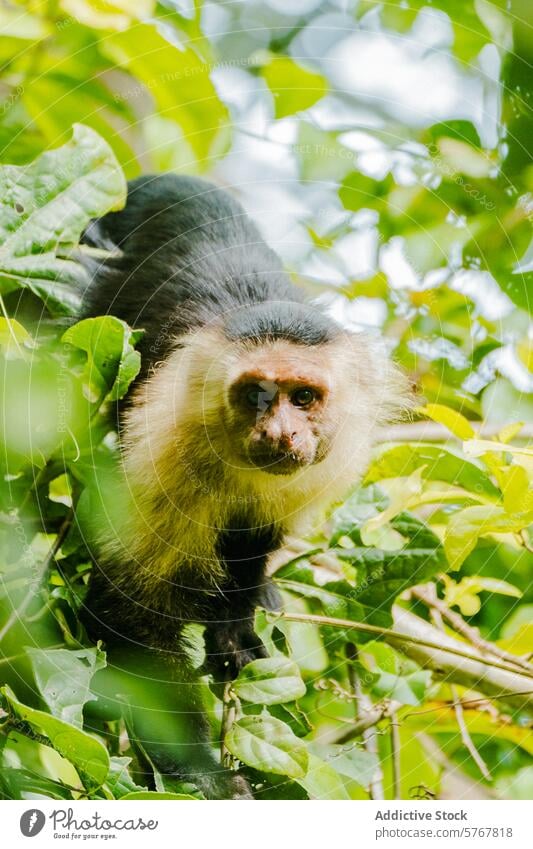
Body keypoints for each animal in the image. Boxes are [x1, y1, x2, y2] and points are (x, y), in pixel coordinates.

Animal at [77, 176, 408, 800]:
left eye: (302, 397)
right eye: (257, 394)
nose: (279, 432)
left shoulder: (330, 456)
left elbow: (257, 535)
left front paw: (232, 627)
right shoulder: (170, 443)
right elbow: (131, 611)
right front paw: (206, 773)